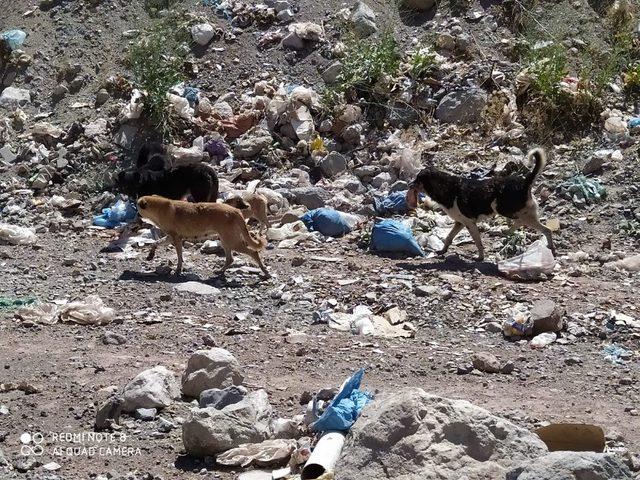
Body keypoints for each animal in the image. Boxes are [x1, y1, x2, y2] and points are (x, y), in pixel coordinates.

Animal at [138, 195, 270, 278]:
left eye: (138, 207)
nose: (137, 219)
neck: (158, 207)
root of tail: (236, 211)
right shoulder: (171, 237)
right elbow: (155, 243)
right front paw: (150, 255)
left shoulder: (175, 238)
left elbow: (179, 256)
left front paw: (178, 270)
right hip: (226, 241)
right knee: (230, 259)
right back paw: (220, 271)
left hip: (232, 242)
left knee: (254, 253)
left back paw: (265, 272)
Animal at [410, 148, 556, 260]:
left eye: (418, 179)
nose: (410, 184)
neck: (446, 186)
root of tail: (525, 182)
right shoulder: (460, 223)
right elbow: (448, 237)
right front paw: (442, 251)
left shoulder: (470, 224)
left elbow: (478, 242)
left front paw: (480, 257)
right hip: (517, 211)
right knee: (533, 226)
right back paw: (510, 232)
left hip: (503, 208)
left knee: (538, 227)